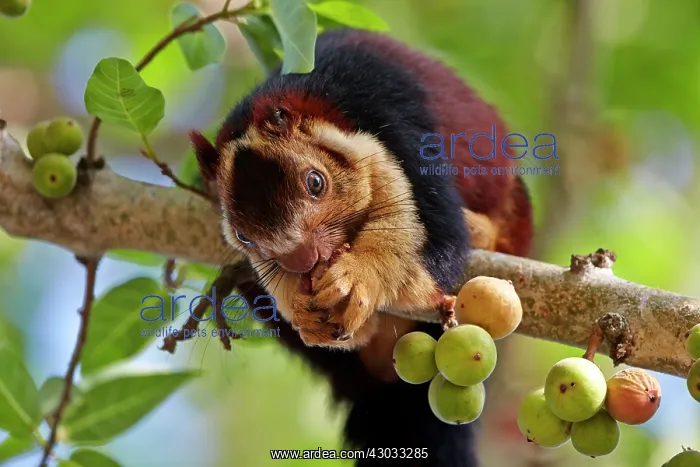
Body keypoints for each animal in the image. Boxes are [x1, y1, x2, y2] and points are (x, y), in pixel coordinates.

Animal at [191, 28, 533, 467]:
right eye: (244, 236)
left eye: (316, 182)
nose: (304, 260)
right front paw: (301, 308)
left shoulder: (396, 125)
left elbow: (434, 239)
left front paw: (360, 280)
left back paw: (482, 231)